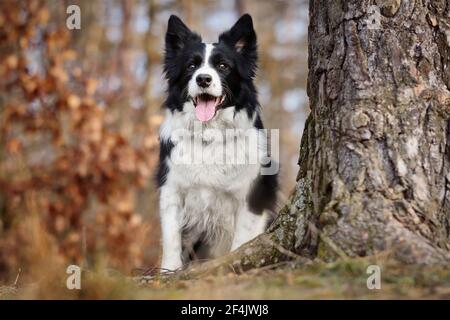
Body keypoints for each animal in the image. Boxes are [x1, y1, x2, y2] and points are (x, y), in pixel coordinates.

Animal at [158, 13, 278, 272]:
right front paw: (168, 272)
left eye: (223, 66)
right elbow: (171, 238)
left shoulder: (252, 196)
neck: (209, 136)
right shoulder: (171, 190)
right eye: (191, 66)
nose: (203, 79)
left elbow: (242, 241)